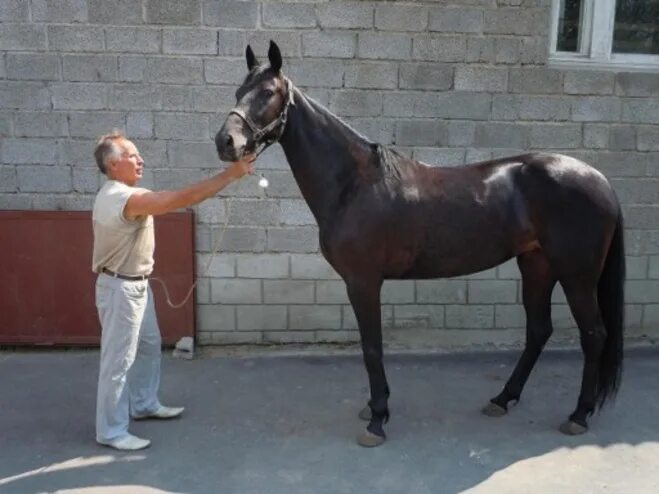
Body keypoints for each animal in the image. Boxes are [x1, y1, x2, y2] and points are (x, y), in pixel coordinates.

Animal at [217, 41, 624, 448]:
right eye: (238, 92)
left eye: (268, 93)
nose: (226, 142)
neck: (354, 185)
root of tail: (600, 180)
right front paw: (375, 407)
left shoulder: (363, 282)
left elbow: (372, 349)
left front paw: (377, 420)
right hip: (537, 266)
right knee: (539, 331)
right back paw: (502, 399)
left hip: (577, 276)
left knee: (594, 335)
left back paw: (578, 415)